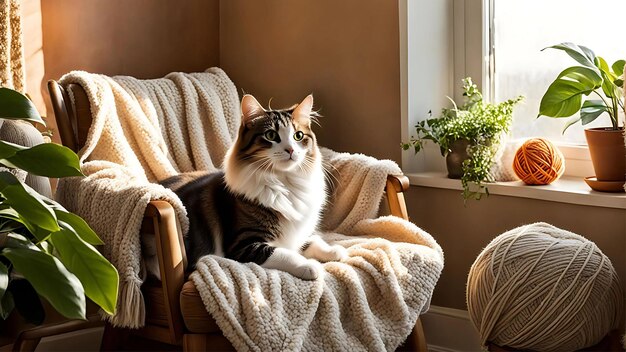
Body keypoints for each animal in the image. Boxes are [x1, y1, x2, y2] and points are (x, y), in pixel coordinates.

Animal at [154, 94, 344, 280]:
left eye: (298, 136)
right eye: (271, 135)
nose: (290, 150)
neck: (285, 182)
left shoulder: (298, 229)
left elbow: (313, 240)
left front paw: (334, 251)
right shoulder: (243, 244)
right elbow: (283, 253)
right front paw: (309, 266)